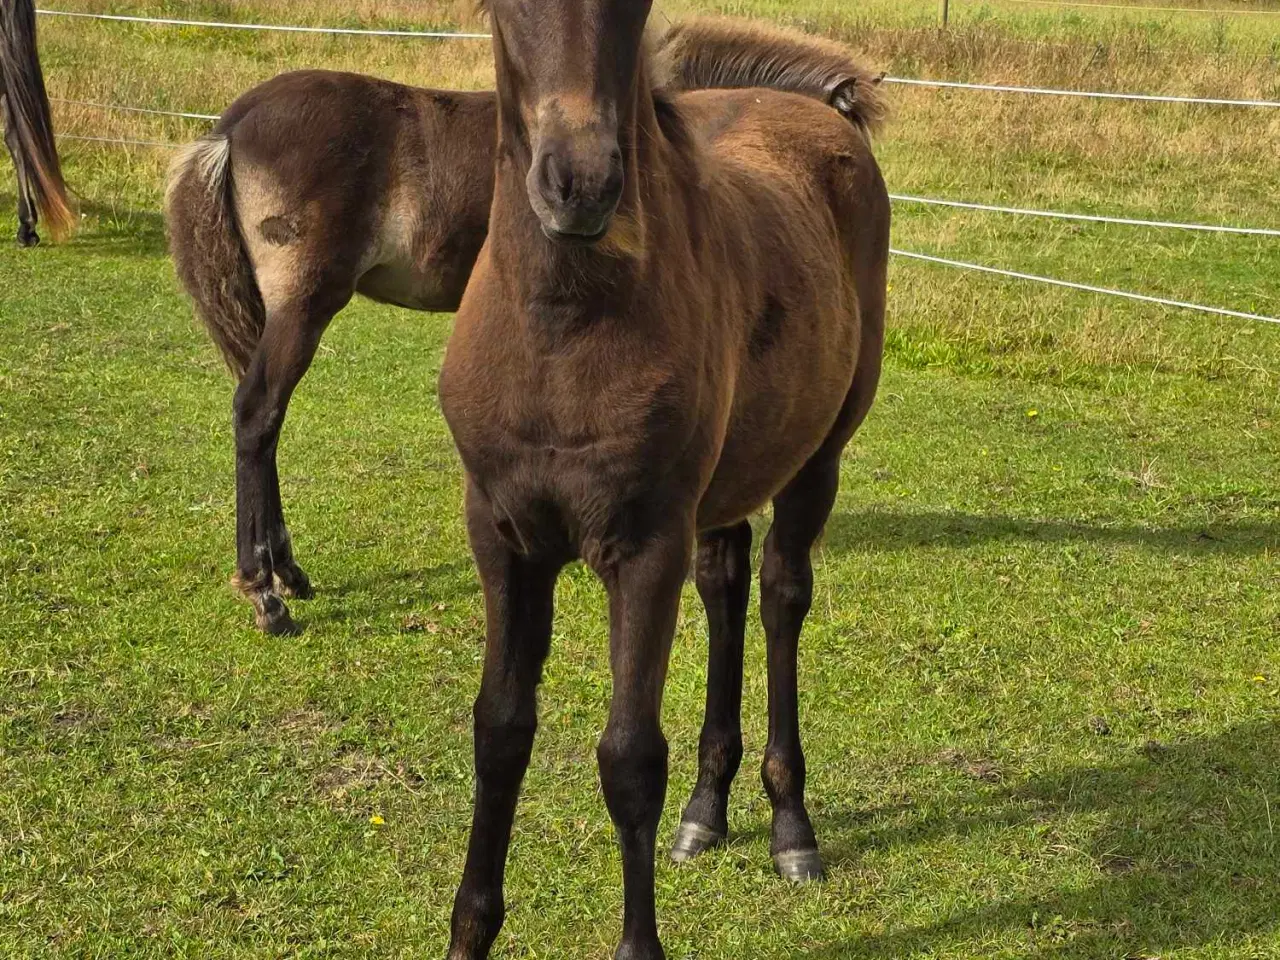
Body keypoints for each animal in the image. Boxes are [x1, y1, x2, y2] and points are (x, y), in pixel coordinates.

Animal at [440, 3, 890, 957]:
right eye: (502, 10)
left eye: (634, 8)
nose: (579, 185)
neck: (560, 329)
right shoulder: (501, 534)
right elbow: (499, 730)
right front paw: (469, 931)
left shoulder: (643, 545)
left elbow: (629, 757)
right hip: (723, 485)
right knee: (724, 584)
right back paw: (707, 810)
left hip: (816, 458)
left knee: (780, 595)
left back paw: (790, 827)